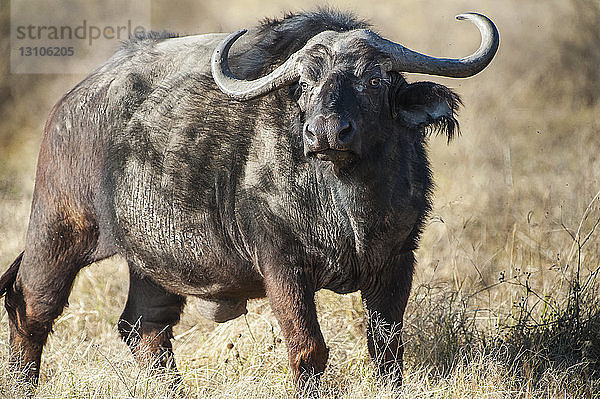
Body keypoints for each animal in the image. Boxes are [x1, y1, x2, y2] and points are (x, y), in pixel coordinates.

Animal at [0, 9, 496, 394]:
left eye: (374, 79)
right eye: (305, 83)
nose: (325, 132)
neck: (346, 203)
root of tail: (70, 104)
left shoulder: (396, 259)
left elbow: (387, 348)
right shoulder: (283, 266)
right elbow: (309, 349)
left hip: (154, 263)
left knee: (145, 327)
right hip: (57, 231)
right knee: (31, 310)